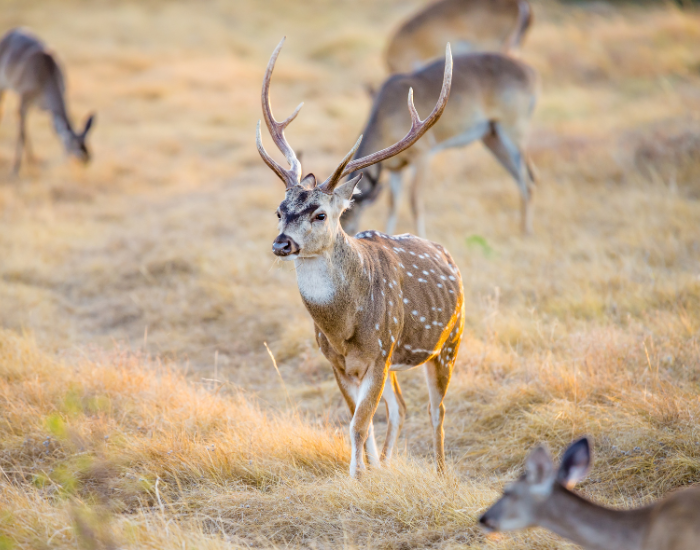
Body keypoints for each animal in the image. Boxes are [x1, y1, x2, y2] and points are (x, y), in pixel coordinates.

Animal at [0, 28, 95, 175]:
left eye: (88, 144)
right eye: (73, 146)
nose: (86, 159)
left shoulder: (50, 108)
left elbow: (53, 127)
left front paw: (32, 161)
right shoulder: (24, 98)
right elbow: (21, 132)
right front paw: (15, 168)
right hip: (3, 86)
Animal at [257, 38, 464, 478]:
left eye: (320, 214)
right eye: (280, 210)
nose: (282, 245)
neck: (343, 327)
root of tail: (446, 253)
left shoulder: (379, 350)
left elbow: (359, 423)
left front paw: (357, 478)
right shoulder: (338, 361)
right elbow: (359, 422)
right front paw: (369, 473)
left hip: (450, 339)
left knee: (436, 411)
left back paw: (441, 473)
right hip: (400, 357)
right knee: (401, 408)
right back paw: (387, 462)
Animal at [340, 52, 538, 238]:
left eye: (349, 225)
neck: (385, 120)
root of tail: (532, 73)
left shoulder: (423, 152)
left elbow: (415, 201)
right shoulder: (396, 167)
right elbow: (393, 205)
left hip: (514, 127)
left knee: (528, 180)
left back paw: (526, 232)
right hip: (491, 135)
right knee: (522, 178)